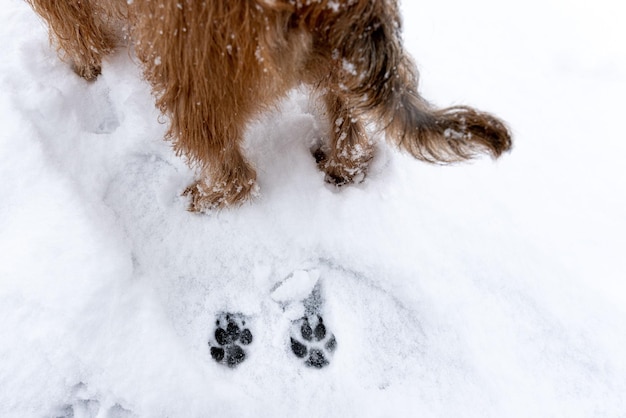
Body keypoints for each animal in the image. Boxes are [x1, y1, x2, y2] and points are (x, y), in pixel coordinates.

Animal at [26, 0, 510, 209]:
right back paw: (340, 166)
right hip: (336, 66)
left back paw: (206, 196)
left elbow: (78, 34)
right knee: (349, 130)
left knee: (234, 171)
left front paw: (85, 68)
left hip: (190, 69)